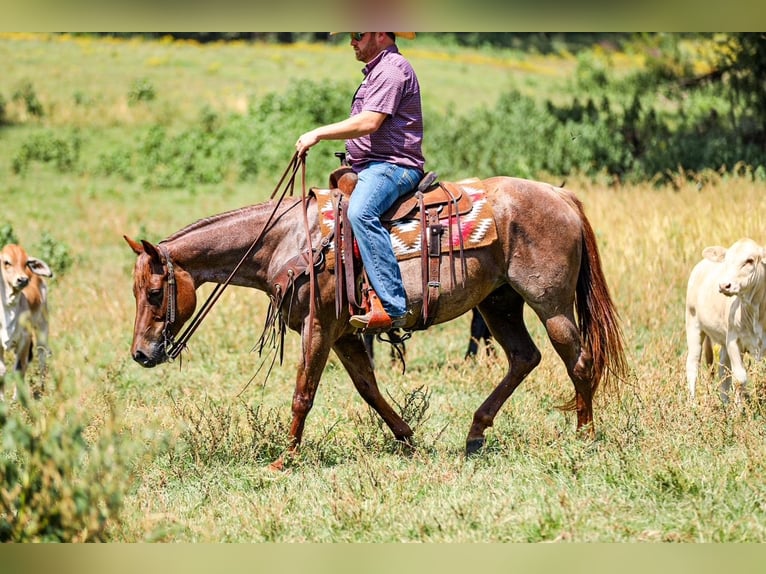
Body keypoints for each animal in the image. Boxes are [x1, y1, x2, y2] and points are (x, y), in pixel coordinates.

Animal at [125, 175, 627, 469]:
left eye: (154, 293)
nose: (142, 354)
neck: (288, 241)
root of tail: (560, 195)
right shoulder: (345, 333)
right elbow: (368, 388)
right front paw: (408, 439)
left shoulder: (318, 327)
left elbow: (304, 393)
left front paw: (284, 459)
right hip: (498, 303)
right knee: (524, 357)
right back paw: (475, 434)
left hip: (550, 302)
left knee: (579, 362)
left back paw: (584, 436)